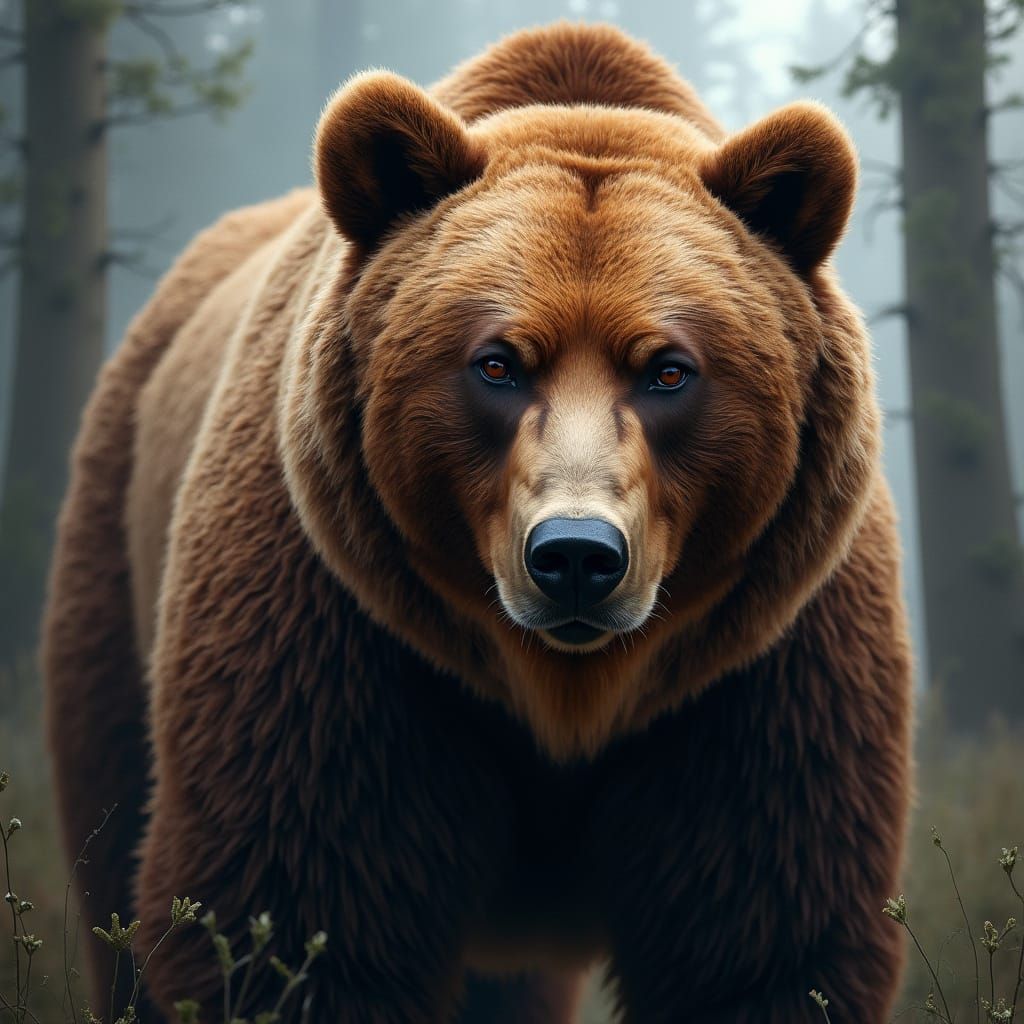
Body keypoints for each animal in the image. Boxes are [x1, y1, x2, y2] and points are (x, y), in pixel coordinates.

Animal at [43, 21, 913, 1024]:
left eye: (668, 370)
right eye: (497, 362)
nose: (576, 556)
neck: (562, 693)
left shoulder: (763, 672)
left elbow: (763, 935)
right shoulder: (338, 644)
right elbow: (289, 915)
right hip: (114, 573)